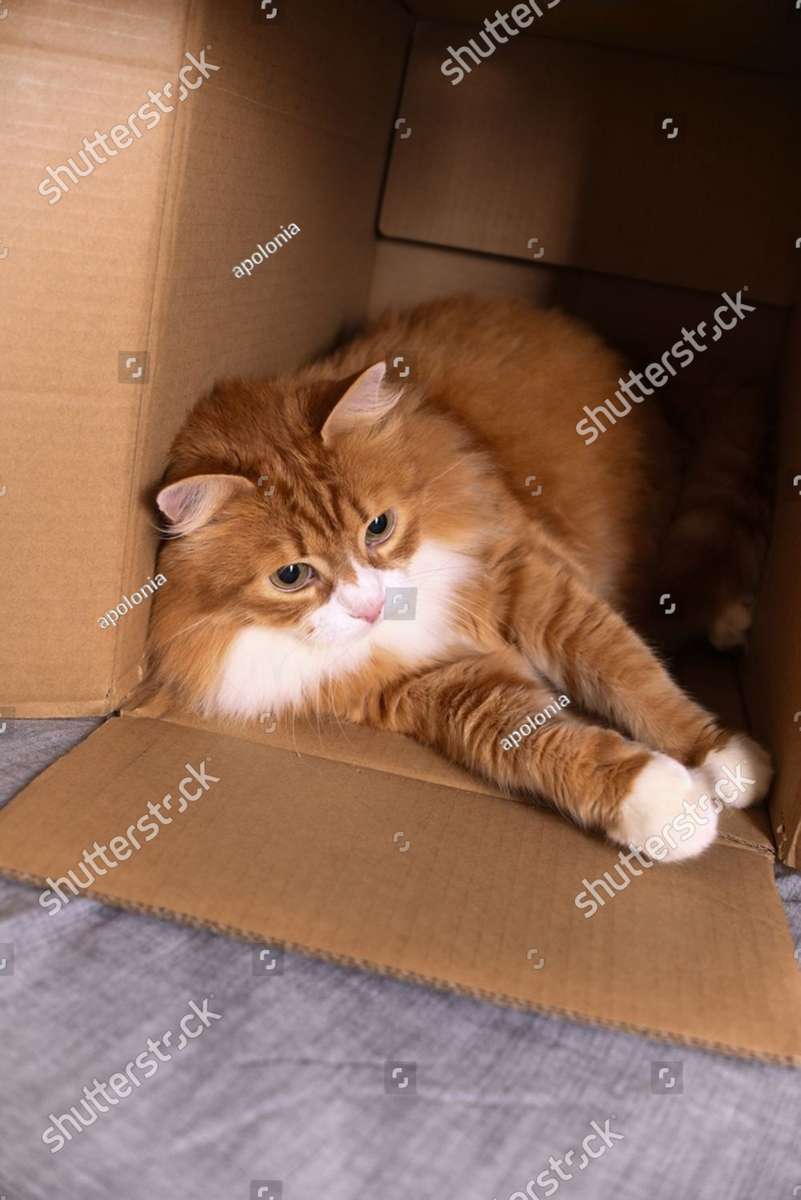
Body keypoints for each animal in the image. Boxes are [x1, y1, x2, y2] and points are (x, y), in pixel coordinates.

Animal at [145, 294, 777, 859]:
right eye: (292, 575)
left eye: (379, 527)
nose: (371, 606)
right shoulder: (437, 687)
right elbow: (544, 740)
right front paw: (667, 806)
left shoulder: (527, 578)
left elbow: (632, 676)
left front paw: (721, 754)